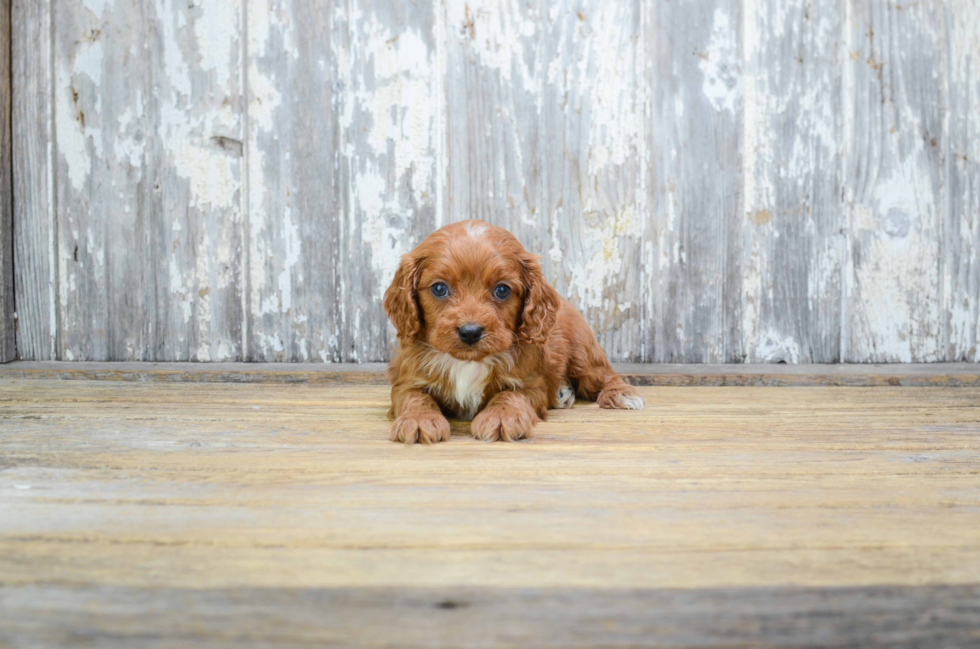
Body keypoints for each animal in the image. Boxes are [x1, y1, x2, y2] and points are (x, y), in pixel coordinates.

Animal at [382, 220, 644, 442]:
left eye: (502, 290)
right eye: (439, 288)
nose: (470, 332)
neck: (468, 362)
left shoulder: (530, 384)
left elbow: (510, 395)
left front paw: (500, 418)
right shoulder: (407, 379)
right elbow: (416, 397)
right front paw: (419, 420)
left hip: (583, 353)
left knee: (604, 375)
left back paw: (622, 394)